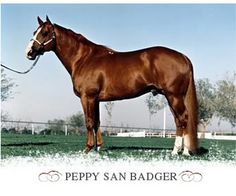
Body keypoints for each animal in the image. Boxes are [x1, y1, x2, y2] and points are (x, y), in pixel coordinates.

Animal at [25, 16, 199, 155]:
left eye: (45, 33)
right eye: (34, 31)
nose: (29, 52)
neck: (84, 59)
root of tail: (183, 56)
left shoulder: (87, 97)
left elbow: (89, 122)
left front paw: (88, 148)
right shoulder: (95, 99)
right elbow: (97, 122)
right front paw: (99, 147)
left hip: (174, 96)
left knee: (183, 119)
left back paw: (181, 152)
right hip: (172, 97)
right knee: (179, 121)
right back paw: (179, 150)